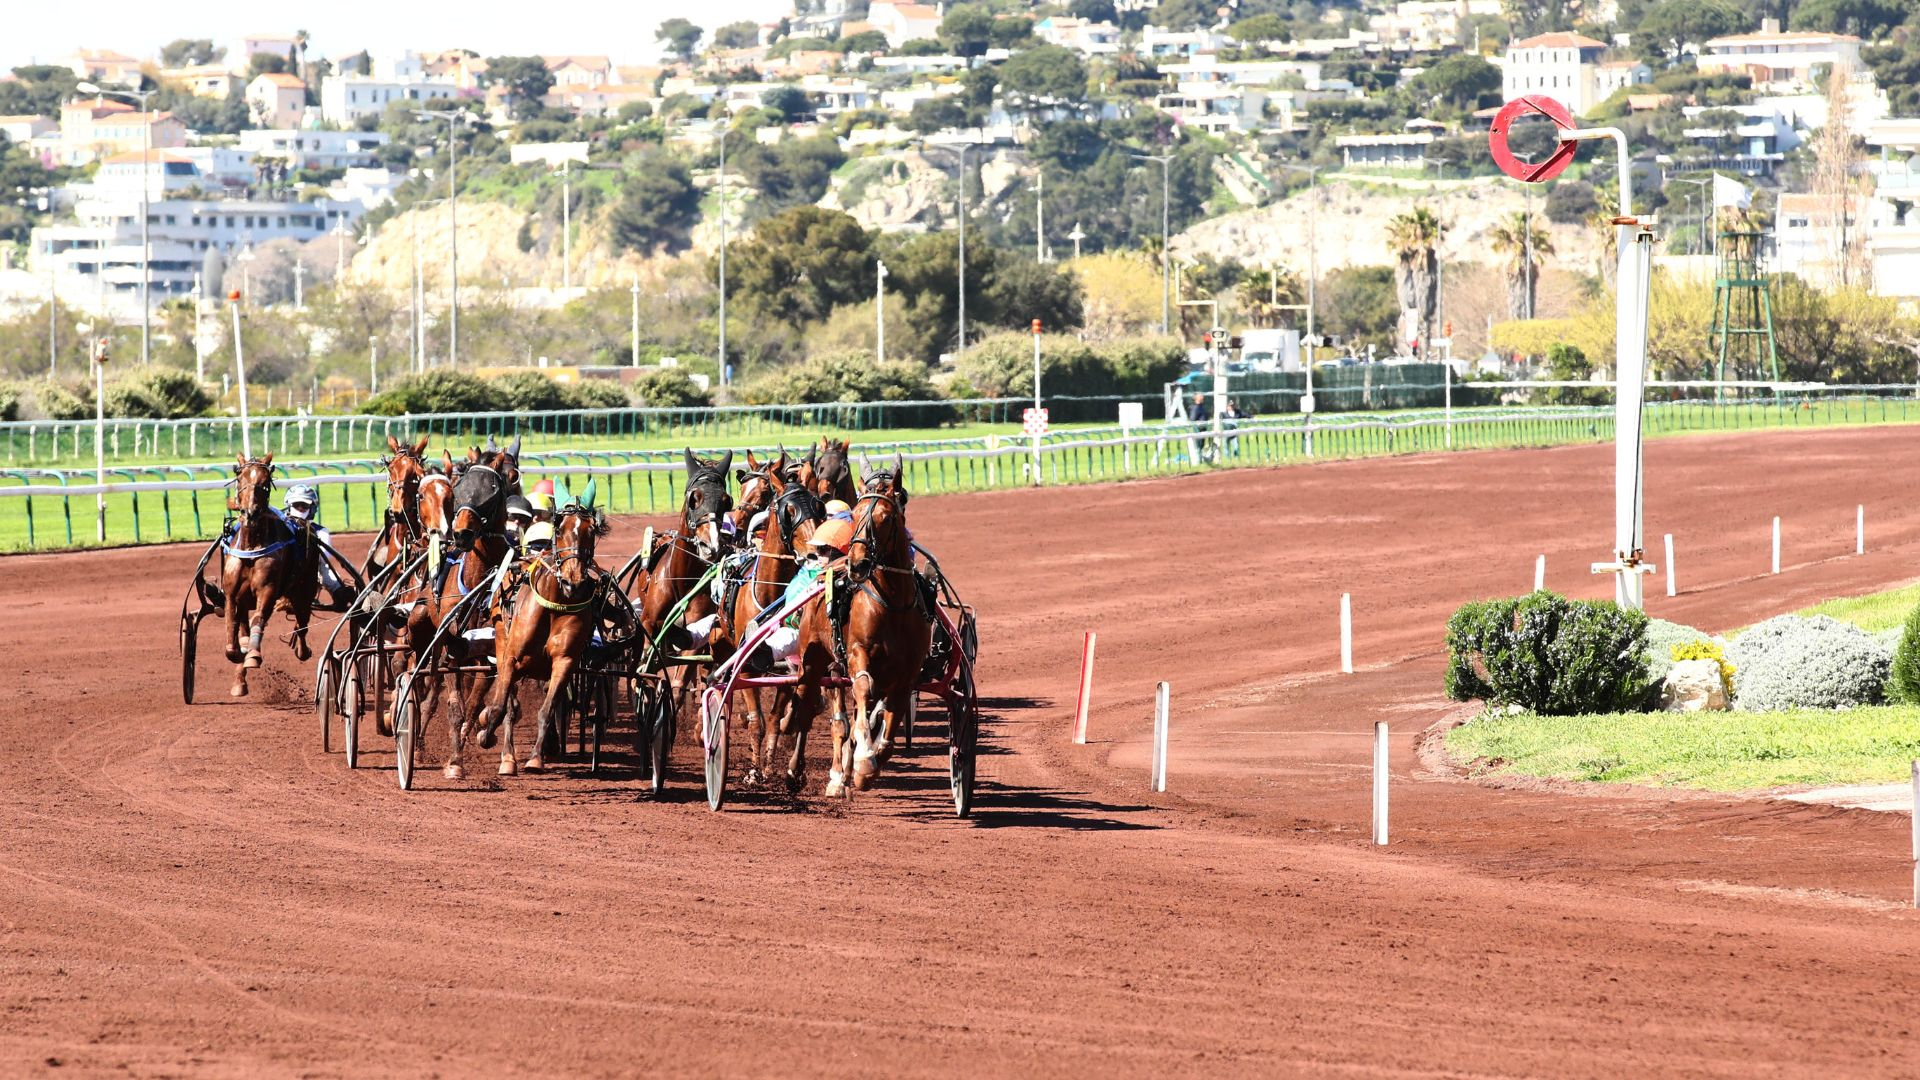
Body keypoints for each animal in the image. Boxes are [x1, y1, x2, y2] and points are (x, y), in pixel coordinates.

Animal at [219, 454, 322, 698]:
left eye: (265, 483)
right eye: (240, 477)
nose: (250, 513)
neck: (251, 547)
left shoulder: (267, 590)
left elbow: (259, 619)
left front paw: (253, 656)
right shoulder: (232, 594)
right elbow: (232, 636)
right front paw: (241, 653)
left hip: (304, 590)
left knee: (302, 622)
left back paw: (302, 649)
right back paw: (240, 678)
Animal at [455, 480, 610, 778]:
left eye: (591, 531)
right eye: (559, 529)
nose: (573, 581)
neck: (556, 603)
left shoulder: (565, 661)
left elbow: (547, 709)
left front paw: (536, 758)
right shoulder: (512, 657)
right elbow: (501, 707)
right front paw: (488, 738)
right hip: (502, 643)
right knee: (506, 701)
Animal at [790, 454, 930, 796]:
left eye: (886, 517)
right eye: (854, 515)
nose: (858, 563)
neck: (893, 604)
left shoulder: (907, 674)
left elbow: (888, 720)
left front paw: (867, 763)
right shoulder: (858, 653)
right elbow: (863, 688)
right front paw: (864, 761)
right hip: (812, 659)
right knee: (805, 709)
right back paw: (798, 771)